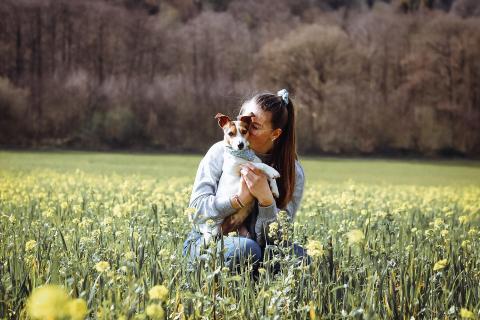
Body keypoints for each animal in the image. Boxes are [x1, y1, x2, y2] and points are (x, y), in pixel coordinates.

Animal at [197, 112, 282, 242]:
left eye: (244, 131)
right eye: (230, 134)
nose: (240, 144)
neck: (243, 155)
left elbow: (267, 174)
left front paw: (275, 188)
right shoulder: (239, 168)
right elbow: (259, 165)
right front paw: (272, 171)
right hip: (212, 233)